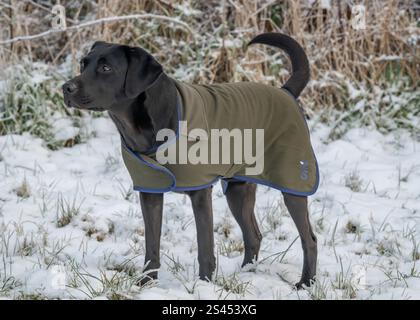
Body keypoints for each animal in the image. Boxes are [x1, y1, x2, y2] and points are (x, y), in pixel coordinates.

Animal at [62, 32, 316, 288]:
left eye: (106, 68)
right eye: (83, 64)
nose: (66, 87)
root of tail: (285, 92)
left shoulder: (201, 193)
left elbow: (205, 247)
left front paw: (204, 285)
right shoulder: (150, 193)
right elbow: (151, 247)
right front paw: (146, 284)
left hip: (292, 185)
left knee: (309, 238)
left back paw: (305, 282)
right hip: (237, 190)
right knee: (253, 235)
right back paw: (247, 274)